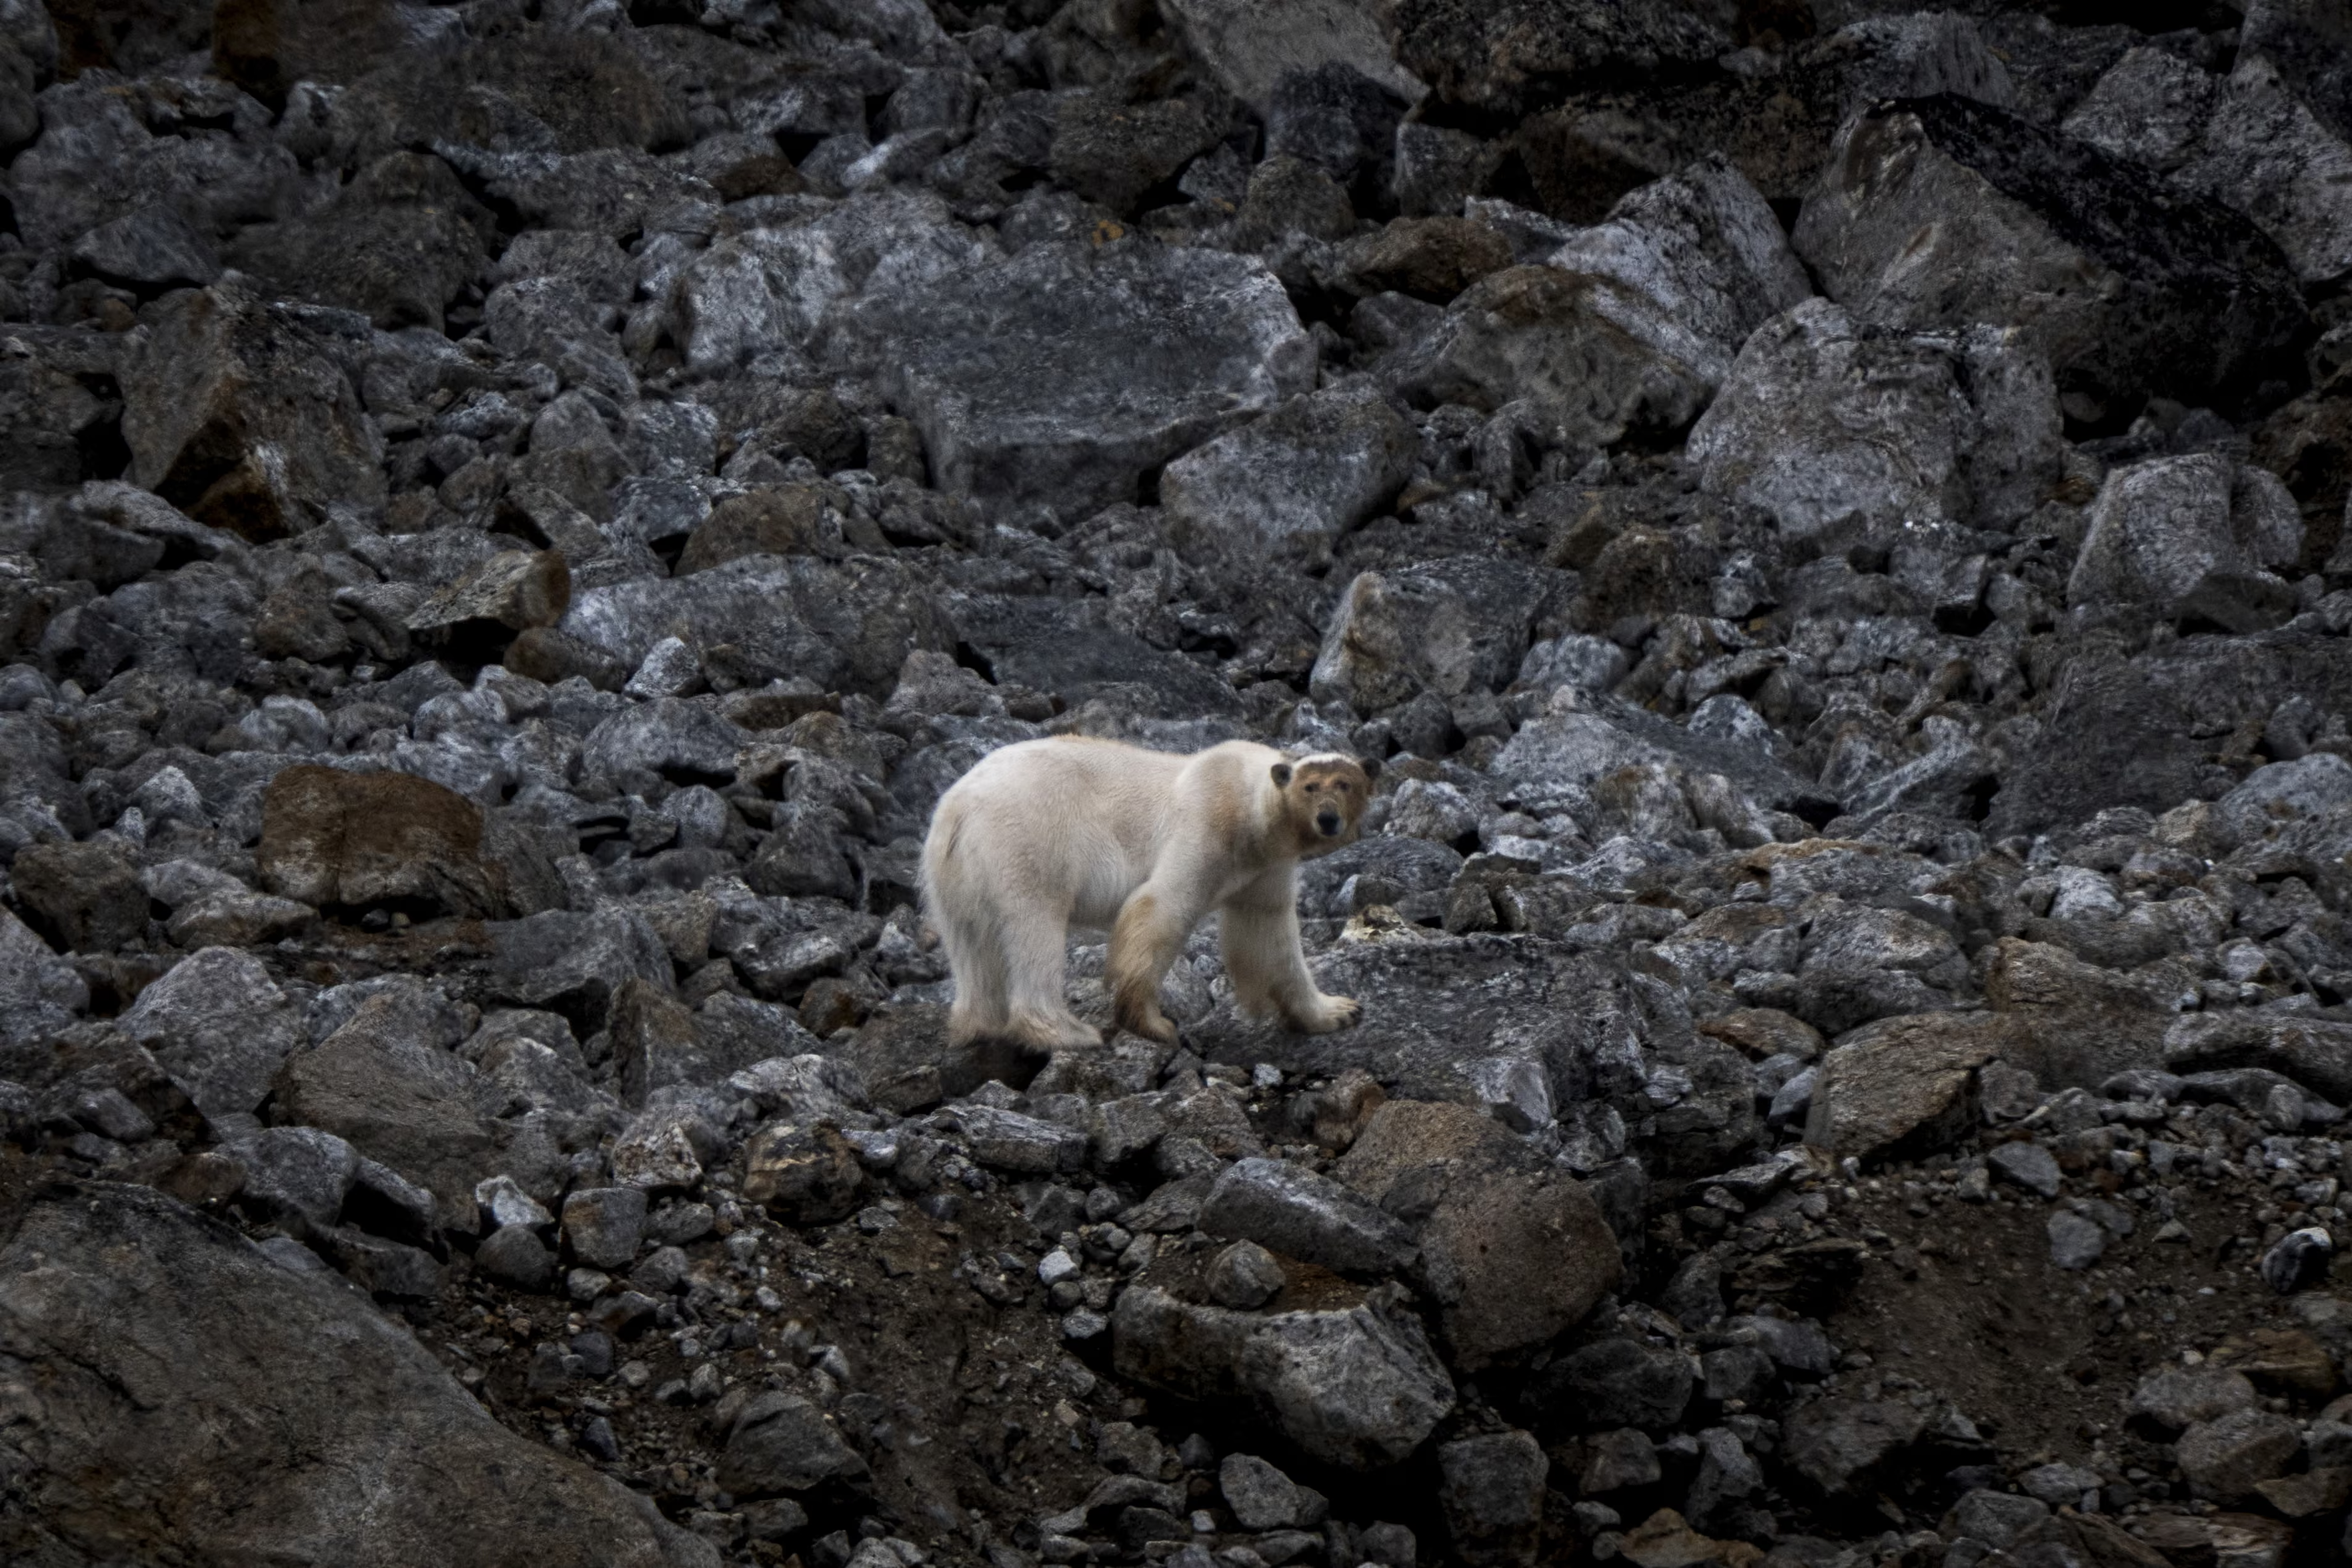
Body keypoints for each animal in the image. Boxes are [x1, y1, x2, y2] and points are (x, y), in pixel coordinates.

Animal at [920, 736, 1379, 1051]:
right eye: (1310, 786)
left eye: (1345, 784)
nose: (1328, 819)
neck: (1250, 810)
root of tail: (957, 807)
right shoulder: (1206, 826)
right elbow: (1162, 907)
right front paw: (1154, 1024)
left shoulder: (1265, 866)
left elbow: (1270, 932)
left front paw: (1337, 1011)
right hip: (1026, 841)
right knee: (1033, 926)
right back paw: (1069, 1032)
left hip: (953, 873)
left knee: (970, 942)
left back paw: (980, 1024)